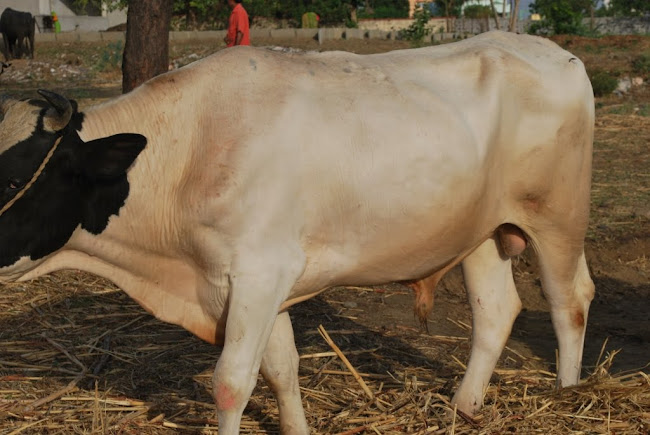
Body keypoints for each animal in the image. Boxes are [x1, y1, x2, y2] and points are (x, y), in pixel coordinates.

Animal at [0, 31, 594, 433]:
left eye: (12, 176)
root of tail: (548, 49)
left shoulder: (259, 273)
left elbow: (231, 382)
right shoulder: (263, 284)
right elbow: (281, 371)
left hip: (558, 218)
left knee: (570, 302)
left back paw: (570, 395)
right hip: (482, 233)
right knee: (496, 312)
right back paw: (464, 408)